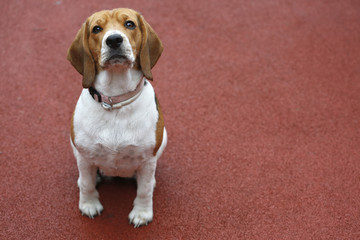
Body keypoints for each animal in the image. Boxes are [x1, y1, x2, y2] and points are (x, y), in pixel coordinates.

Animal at [67, 8, 167, 228]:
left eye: (130, 24)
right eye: (97, 29)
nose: (113, 40)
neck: (115, 100)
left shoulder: (148, 159)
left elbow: (145, 190)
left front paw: (142, 213)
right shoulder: (85, 155)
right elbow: (86, 184)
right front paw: (89, 204)